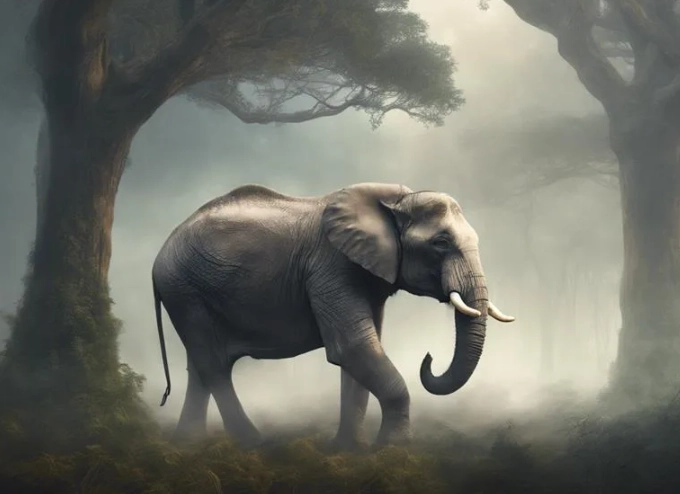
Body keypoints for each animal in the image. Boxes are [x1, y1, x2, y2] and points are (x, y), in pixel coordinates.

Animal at [151, 182, 514, 449]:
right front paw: (393, 450)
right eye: (440, 243)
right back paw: (254, 444)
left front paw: (350, 450)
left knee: (201, 365)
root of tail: (159, 257)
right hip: (185, 289)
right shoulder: (330, 267)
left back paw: (189, 445)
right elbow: (353, 347)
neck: (395, 200)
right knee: (214, 364)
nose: (428, 358)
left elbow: (361, 353)